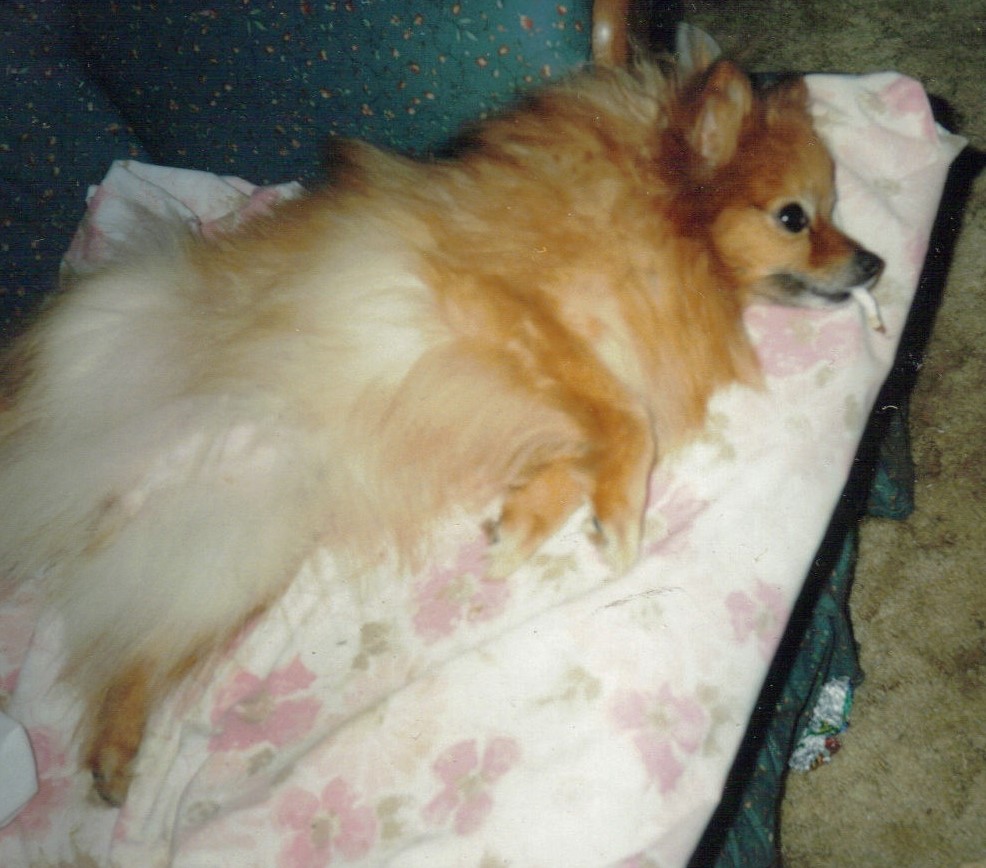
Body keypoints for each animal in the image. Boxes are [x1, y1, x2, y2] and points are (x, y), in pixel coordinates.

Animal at [0, 35, 882, 806]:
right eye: (796, 218)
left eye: (836, 211)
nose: (874, 263)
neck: (661, 230)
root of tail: (107, 480)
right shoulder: (506, 311)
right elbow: (629, 427)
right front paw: (614, 519)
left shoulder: (569, 381)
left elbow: (592, 449)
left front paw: (526, 523)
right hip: (110, 326)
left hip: (238, 550)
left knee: (131, 655)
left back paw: (114, 751)